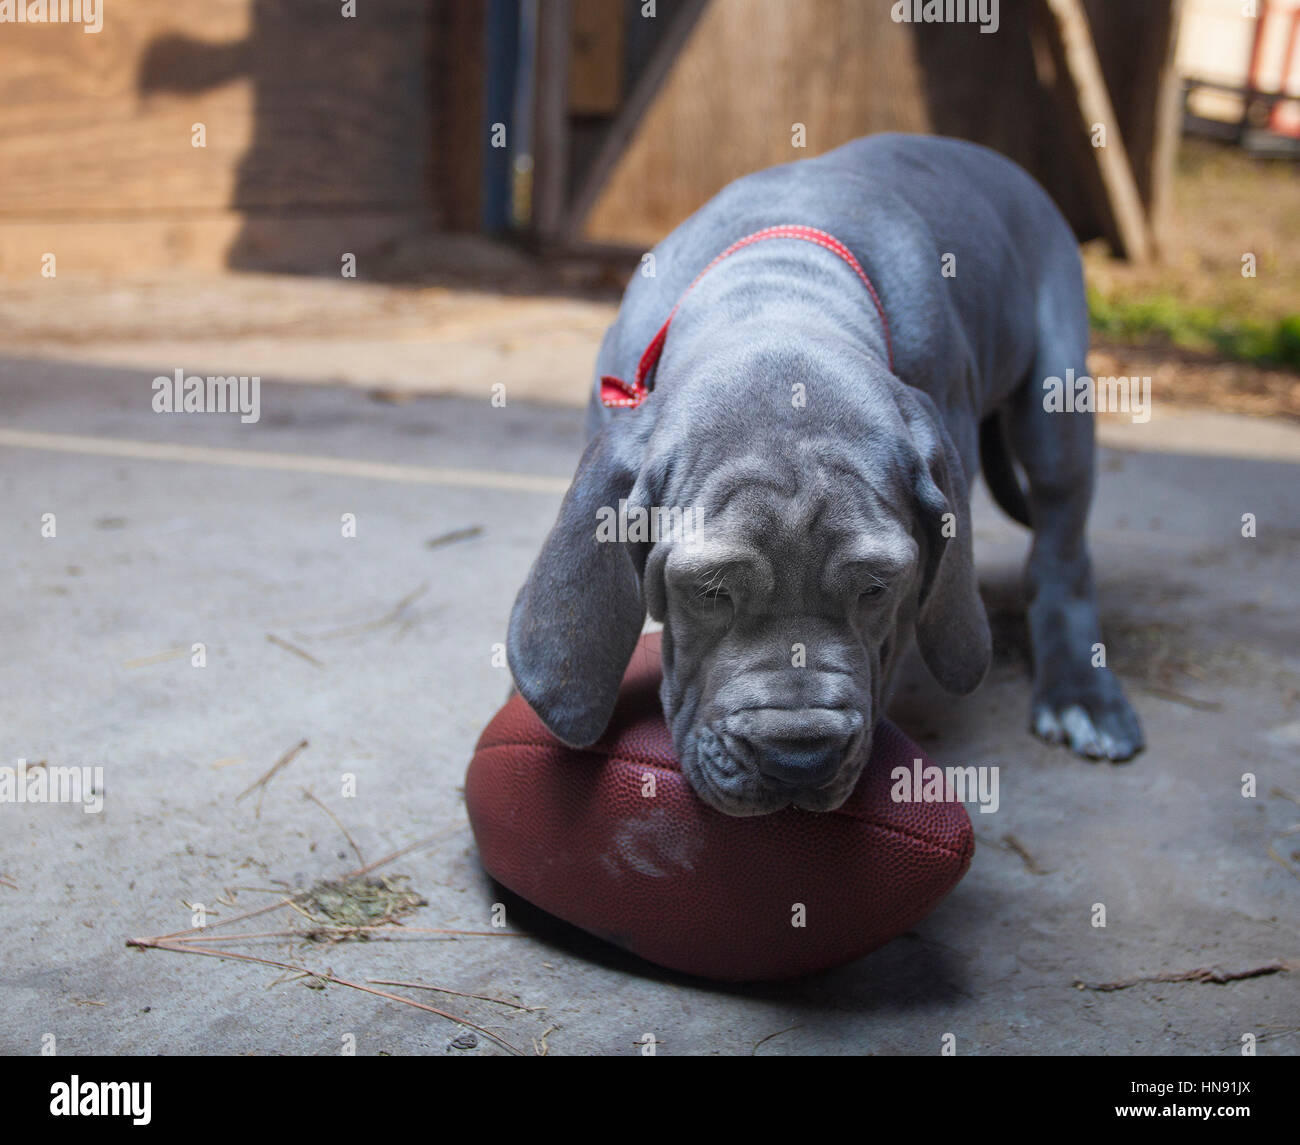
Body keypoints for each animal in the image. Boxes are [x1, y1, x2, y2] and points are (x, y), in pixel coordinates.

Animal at [509, 131, 1149, 810]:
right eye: (709, 592)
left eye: (876, 588)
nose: (799, 762)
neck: (779, 289)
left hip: (1058, 399)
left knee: (1062, 546)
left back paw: (1082, 697)